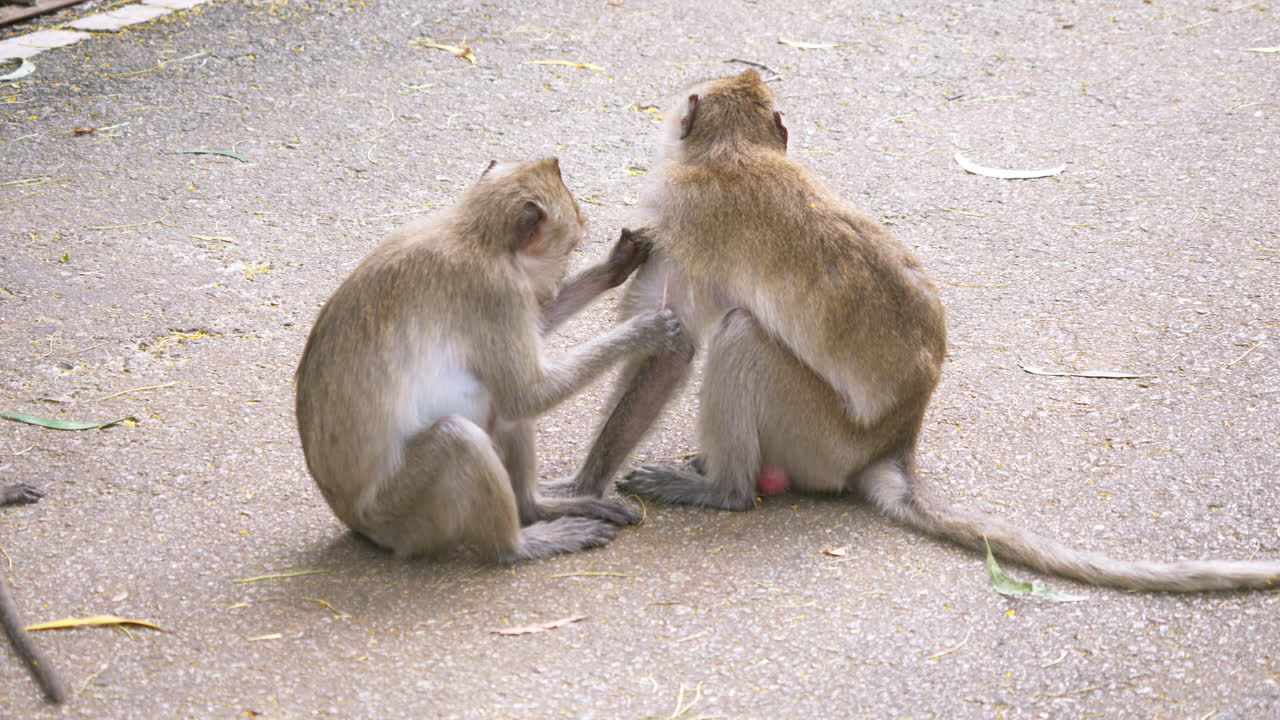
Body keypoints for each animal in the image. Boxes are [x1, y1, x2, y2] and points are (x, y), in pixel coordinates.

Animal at [295, 158, 683, 564]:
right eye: (570, 247)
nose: (557, 280)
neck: (477, 237)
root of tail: (352, 519)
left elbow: (531, 348)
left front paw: (615, 266)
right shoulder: (497, 291)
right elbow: (528, 393)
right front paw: (644, 330)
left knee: (500, 406)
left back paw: (535, 508)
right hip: (399, 515)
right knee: (461, 435)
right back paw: (518, 545)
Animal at [577, 69, 1279, 593]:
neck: (733, 152)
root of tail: (895, 444)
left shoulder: (680, 212)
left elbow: (676, 347)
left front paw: (581, 488)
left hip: (821, 439)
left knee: (742, 335)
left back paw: (724, 490)